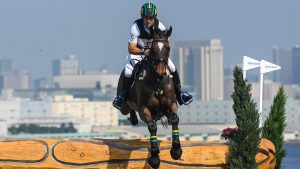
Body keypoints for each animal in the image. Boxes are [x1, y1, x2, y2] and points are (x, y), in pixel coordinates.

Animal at [120, 27, 183, 168]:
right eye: (153, 49)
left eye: (168, 48)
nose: (160, 72)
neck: (157, 83)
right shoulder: (144, 109)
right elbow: (152, 126)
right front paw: (154, 158)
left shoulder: (171, 104)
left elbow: (175, 119)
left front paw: (176, 151)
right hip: (124, 106)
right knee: (126, 107)